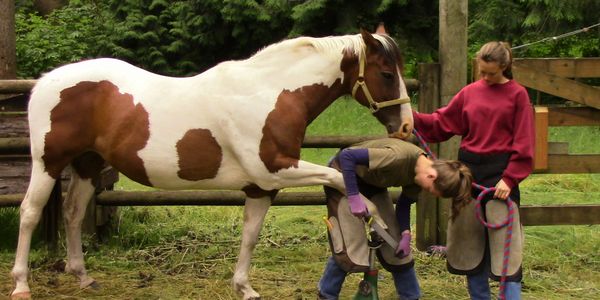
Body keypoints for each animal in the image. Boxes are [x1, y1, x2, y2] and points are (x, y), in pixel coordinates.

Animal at [10, 28, 412, 300]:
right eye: (386, 74)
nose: (407, 126)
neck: (270, 94)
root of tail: (45, 81)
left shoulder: (262, 187)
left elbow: (250, 235)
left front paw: (244, 287)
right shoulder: (276, 169)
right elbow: (344, 182)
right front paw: (373, 219)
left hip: (87, 164)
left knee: (73, 213)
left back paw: (83, 276)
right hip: (48, 162)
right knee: (29, 212)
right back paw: (21, 284)